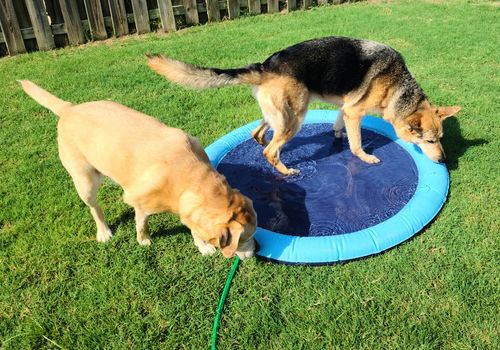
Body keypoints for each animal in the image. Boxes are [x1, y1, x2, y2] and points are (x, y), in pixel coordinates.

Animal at [19, 80, 256, 258]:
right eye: (245, 239)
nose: (257, 252)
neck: (190, 176)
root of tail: (69, 108)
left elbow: (193, 225)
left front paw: (202, 244)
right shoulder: (141, 203)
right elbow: (142, 224)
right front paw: (144, 240)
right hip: (85, 181)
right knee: (94, 207)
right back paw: (103, 232)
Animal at [146, 36, 458, 175]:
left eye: (441, 139)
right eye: (430, 141)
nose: (445, 162)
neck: (397, 88)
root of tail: (266, 66)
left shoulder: (345, 108)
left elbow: (339, 125)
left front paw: (337, 135)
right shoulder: (355, 112)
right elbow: (357, 144)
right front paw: (364, 157)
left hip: (279, 115)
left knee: (258, 135)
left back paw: (270, 152)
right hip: (294, 118)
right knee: (270, 149)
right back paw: (285, 171)